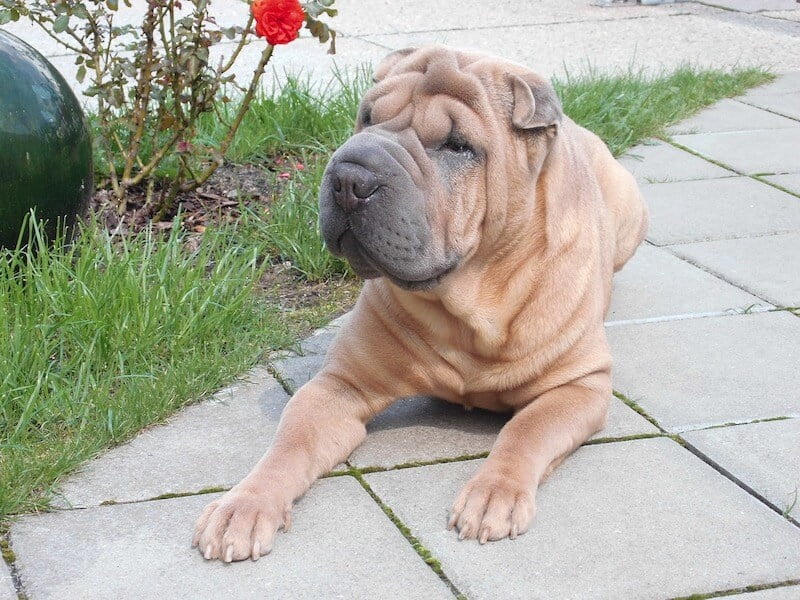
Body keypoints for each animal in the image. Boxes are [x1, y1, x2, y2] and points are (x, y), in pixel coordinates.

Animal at [195, 45, 648, 564]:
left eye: (457, 146)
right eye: (367, 118)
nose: (349, 176)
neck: (469, 303)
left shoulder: (579, 385)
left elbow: (526, 430)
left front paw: (493, 493)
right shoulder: (339, 385)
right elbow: (290, 442)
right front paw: (243, 505)